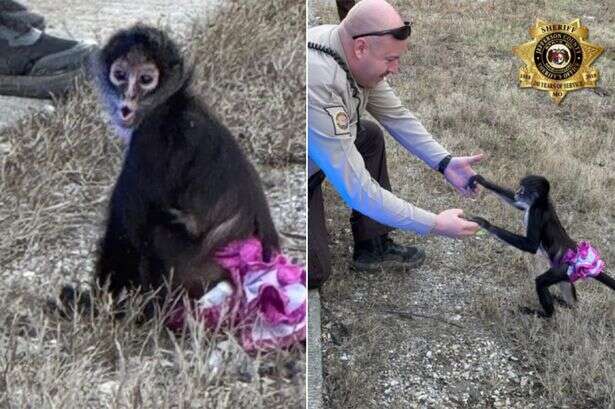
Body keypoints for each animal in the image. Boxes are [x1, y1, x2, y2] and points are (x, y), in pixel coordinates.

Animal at [59, 23, 280, 316]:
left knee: (157, 230)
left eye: (145, 79)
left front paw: (96, 306)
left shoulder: (149, 141)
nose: (127, 102)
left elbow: (124, 232)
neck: (170, 103)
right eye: (120, 75)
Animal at [470, 174, 612, 318]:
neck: (541, 203)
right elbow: (516, 203)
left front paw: (486, 224)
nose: (517, 192)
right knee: (564, 284)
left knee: (541, 282)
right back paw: (568, 305)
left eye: (522, 189)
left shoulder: (536, 212)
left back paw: (545, 315)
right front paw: (482, 181)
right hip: (565, 270)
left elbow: (531, 246)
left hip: (563, 268)